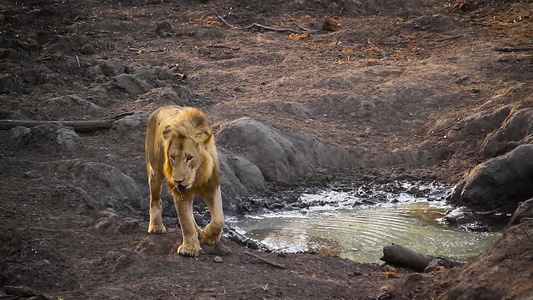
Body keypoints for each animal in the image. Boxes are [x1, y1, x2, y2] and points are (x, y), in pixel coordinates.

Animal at [144, 106, 223, 258]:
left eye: (189, 158)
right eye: (173, 157)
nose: (178, 181)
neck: (198, 173)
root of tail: (159, 109)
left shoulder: (211, 185)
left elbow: (218, 219)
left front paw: (209, 237)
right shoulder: (179, 192)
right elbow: (185, 221)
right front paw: (190, 248)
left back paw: (198, 230)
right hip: (155, 171)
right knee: (155, 200)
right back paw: (156, 226)